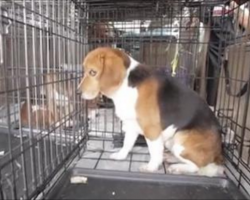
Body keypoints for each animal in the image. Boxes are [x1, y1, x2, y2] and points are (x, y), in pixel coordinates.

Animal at [77, 47, 224, 177]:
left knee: (197, 166)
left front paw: (151, 167)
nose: (78, 92)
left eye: (93, 72)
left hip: (180, 140)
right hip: (171, 141)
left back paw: (177, 167)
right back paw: (170, 158)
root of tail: (218, 154)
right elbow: (126, 144)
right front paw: (121, 155)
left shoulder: (151, 130)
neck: (125, 87)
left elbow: (154, 152)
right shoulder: (131, 126)